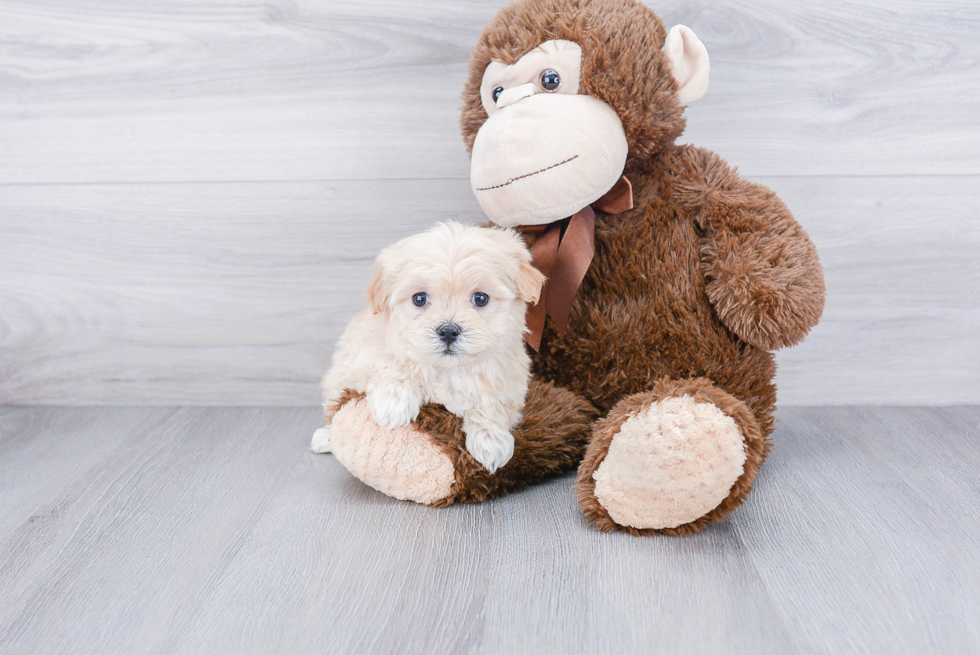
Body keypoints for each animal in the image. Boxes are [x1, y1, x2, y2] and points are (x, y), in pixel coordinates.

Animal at [312, 223, 548, 474]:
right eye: (420, 299)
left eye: (481, 298)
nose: (448, 331)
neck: (448, 370)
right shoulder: (363, 354)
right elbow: (389, 364)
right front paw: (392, 403)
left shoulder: (509, 382)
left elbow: (492, 403)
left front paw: (491, 440)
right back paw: (325, 437)